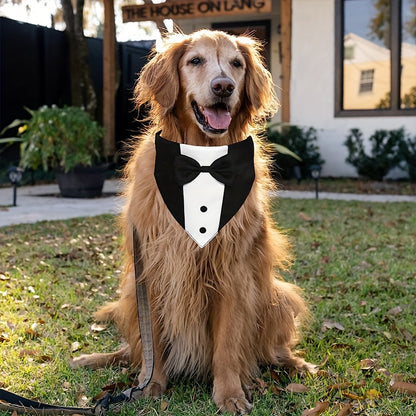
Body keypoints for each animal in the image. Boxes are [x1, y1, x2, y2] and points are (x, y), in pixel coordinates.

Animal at [73, 29, 314, 412]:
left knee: (270, 349)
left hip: (277, 295)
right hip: (131, 297)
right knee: (133, 350)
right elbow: (153, 341)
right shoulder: (154, 271)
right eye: (195, 60)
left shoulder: (233, 273)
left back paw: (292, 363)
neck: (202, 160)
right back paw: (98, 359)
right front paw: (151, 386)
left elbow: (228, 347)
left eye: (236, 63)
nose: (223, 86)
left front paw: (229, 394)